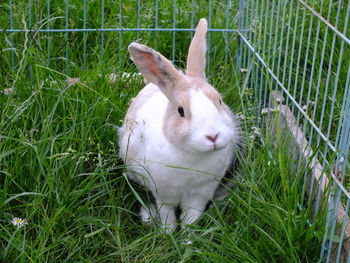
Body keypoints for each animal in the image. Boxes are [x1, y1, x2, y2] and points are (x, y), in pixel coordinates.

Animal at [119, 18, 242, 232]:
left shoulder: (200, 194)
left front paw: (187, 237)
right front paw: (167, 234)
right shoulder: (163, 193)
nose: (213, 136)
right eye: (180, 111)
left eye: (219, 101)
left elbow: (191, 218)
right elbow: (167, 215)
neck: (192, 156)